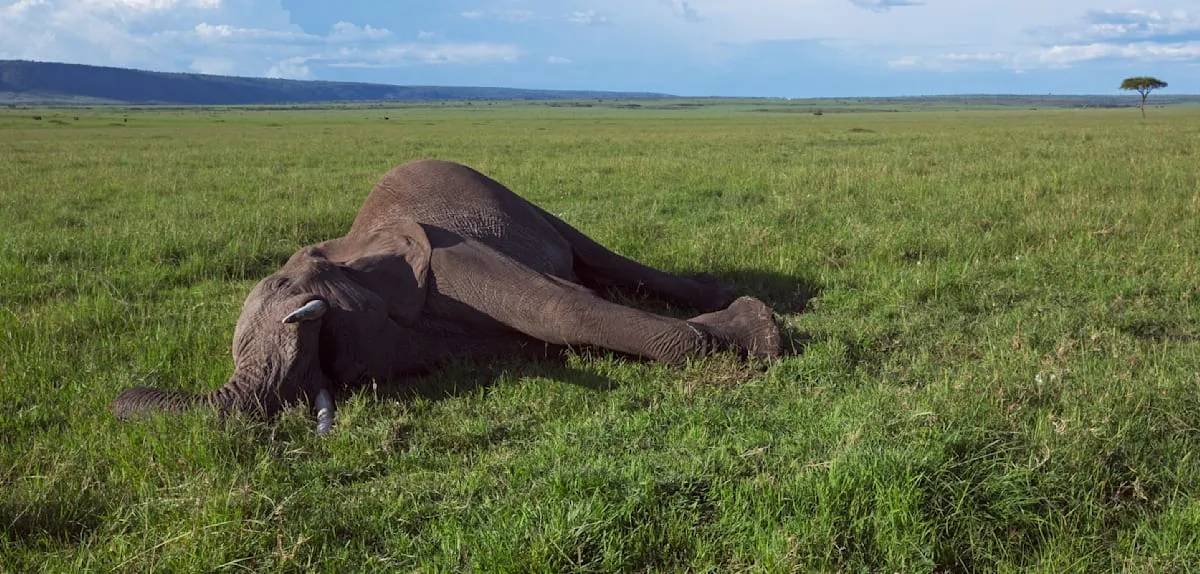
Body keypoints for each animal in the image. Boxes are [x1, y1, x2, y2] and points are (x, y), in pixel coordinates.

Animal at [110, 159, 782, 434]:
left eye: (292, 295)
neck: (353, 244)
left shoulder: (448, 256)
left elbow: (558, 307)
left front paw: (762, 335)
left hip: (514, 198)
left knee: (591, 255)